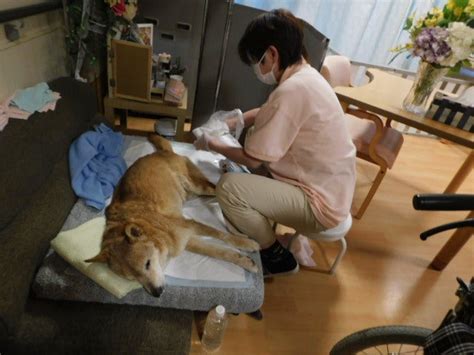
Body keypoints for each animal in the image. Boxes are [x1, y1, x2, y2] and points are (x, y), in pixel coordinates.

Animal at [87, 136, 262, 298]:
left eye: (147, 264)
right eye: (133, 278)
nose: (156, 293)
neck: (154, 228)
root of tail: (161, 152)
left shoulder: (188, 225)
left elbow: (222, 235)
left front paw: (246, 244)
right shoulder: (185, 239)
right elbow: (219, 252)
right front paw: (245, 261)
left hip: (197, 186)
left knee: (218, 192)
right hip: (191, 193)